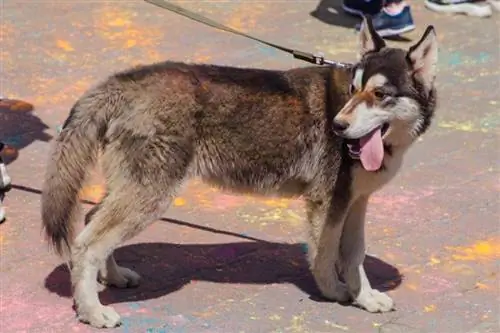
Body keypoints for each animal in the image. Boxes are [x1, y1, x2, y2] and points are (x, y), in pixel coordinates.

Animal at [40, 16, 438, 326]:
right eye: (354, 90)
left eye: (380, 95)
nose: (337, 126)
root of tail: (121, 82)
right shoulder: (328, 206)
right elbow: (326, 257)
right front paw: (334, 292)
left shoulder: (355, 203)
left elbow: (354, 255)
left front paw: (365, 298)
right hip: (148, 196)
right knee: (86, 244)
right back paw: (92, 311)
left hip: (132, 190)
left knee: (91, 220)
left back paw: (112, 277)